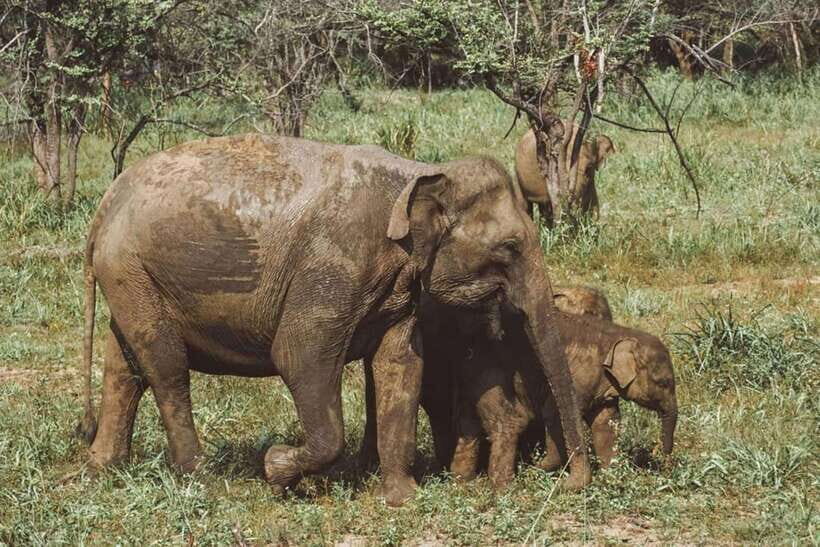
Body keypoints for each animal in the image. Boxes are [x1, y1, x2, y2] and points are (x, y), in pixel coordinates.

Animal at [75, 133, 592, 506]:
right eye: (510, 248)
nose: (566, 483)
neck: (416, 174)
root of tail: (105, 203)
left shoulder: (400, 290)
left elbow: (401, 365)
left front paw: (402, 498)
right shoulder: (333, 265)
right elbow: (300, 356)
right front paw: (276, 471)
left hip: (130, 277)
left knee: (125, 363)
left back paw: (103, 465)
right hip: (130, 267)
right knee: (167, 368)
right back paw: (199, 477)